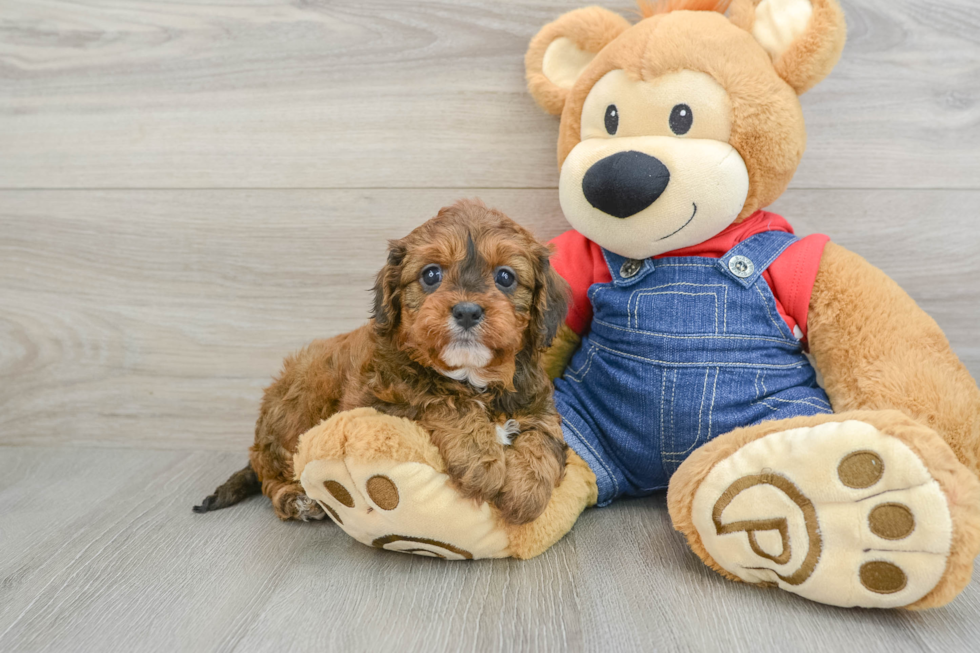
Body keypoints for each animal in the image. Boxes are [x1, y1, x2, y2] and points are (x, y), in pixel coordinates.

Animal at [194, 199, 572, 524]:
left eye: (505, 277)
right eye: (431, 275)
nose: (467, 311)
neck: (471, 375)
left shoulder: (539, 405)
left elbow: (543, 439)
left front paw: (526, 491)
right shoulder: (377, 400)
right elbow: (442, 402)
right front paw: (482, 460)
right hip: (300, 400)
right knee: (272, 471)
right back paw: (295, 499)